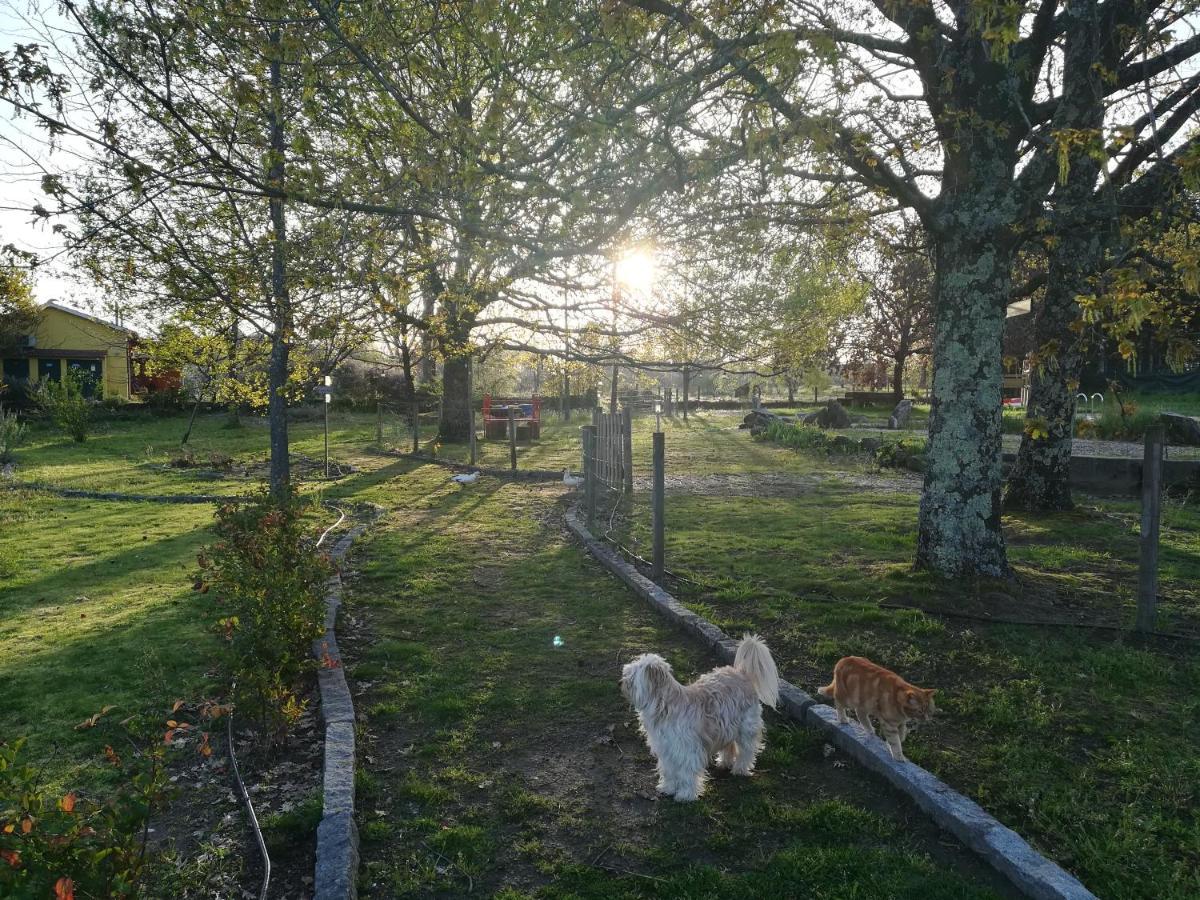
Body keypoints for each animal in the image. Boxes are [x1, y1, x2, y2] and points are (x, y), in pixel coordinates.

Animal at [624, 633, 782, 801]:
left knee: (747, 750)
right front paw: (668, 788)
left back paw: (740, 769)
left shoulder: (686, 751)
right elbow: (669, 771)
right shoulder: (667, 750)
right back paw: (724, 762)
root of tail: (742, 672)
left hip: (746, 729)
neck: (665, 706)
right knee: (729, 746)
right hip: (726, 726)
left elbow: (686, 773)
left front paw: (685, 795)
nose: (622, 682)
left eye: (631, 677)